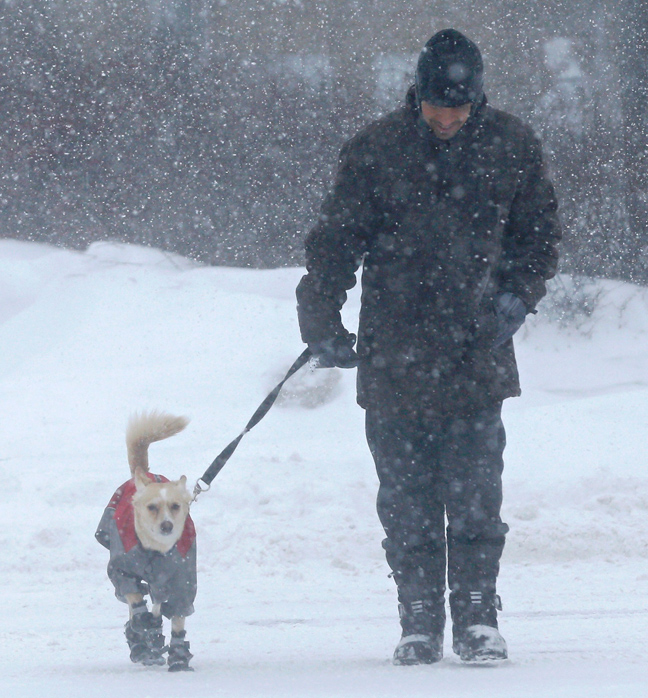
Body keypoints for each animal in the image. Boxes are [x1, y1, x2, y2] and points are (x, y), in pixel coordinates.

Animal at [96, 410, 196, 668]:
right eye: (152, 507)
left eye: (175, 506)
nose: (167, 525)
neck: (156, 550)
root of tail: (145, 474)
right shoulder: (121, 567)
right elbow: (133, 595)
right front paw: (143, 623)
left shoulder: (182, 581)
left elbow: (178, 614)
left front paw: (179, 658)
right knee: (135, 604)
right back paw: (141, 643)